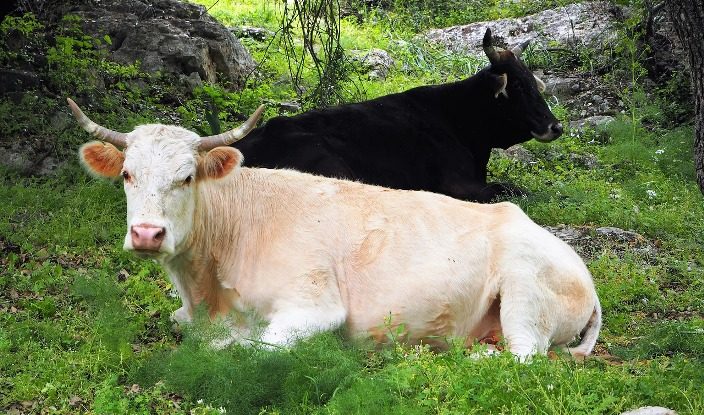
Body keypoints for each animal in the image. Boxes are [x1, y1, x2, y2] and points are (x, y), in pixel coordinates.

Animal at [69, 98, 600, 360]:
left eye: (187, 177)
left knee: (524, 356)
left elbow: (245, 348)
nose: (147, 234)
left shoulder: (314, 307)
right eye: (127, 175)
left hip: (526, 295)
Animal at [234, 28, 562, 203]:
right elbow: (512, 188)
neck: (456, 118)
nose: (555, 126)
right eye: (517, 85)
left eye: (533, 81)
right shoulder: (458, 184)